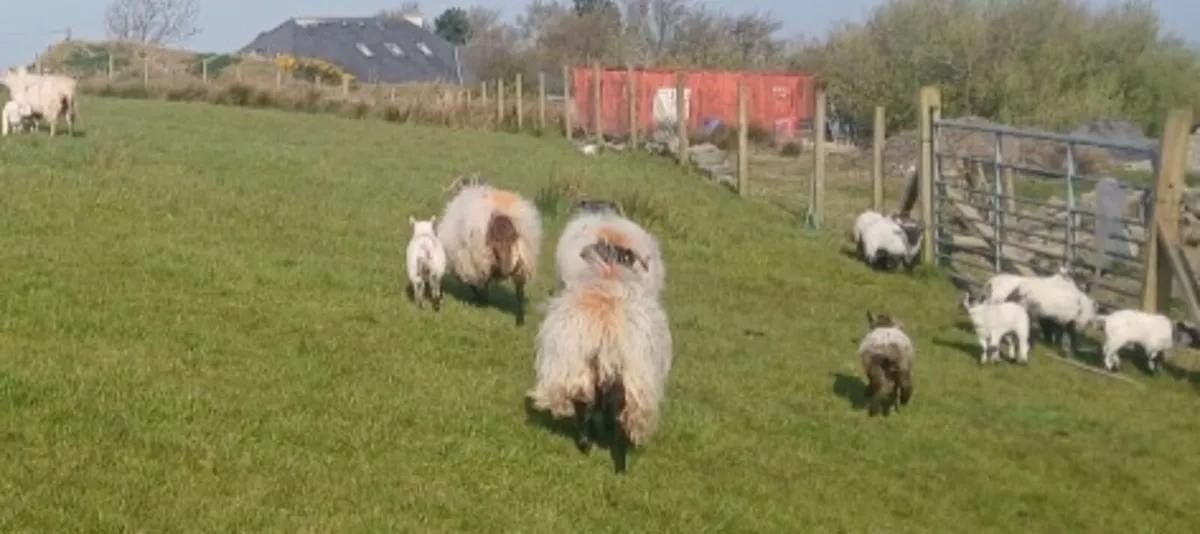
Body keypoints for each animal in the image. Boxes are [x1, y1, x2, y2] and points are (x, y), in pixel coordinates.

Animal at [436, 177, 543, 326]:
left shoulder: (468, 262)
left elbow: (472, 282)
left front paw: (480, 299)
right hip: (524, 263)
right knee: (520, 292)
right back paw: (520, 320)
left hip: (482, 257)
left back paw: (483, 301)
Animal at [528, 239, 672, 474]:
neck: (609, 276)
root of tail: (606, 320)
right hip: (623, 372)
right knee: (611, 411)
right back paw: (618, 463)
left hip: (578, 365)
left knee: (584, 403)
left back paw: (587, 443)